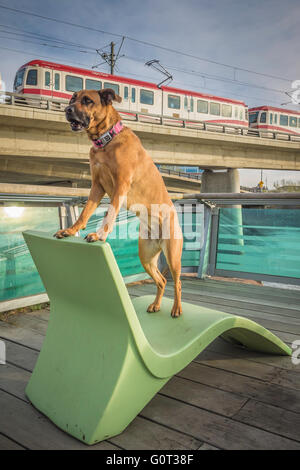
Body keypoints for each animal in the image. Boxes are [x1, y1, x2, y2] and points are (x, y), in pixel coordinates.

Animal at [55, 87, 184, 316]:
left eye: (87, 100)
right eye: (72, 98)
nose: (67, 109)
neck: (105, 141)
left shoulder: (121, 185)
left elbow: (110, 214)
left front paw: (99, 235)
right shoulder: (96, 186)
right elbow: (84, 213)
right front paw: (70, 230)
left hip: (172, 255)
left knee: (177, 282)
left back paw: (176, 308)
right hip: (146, 256)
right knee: (161, 280)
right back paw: (156, 305)